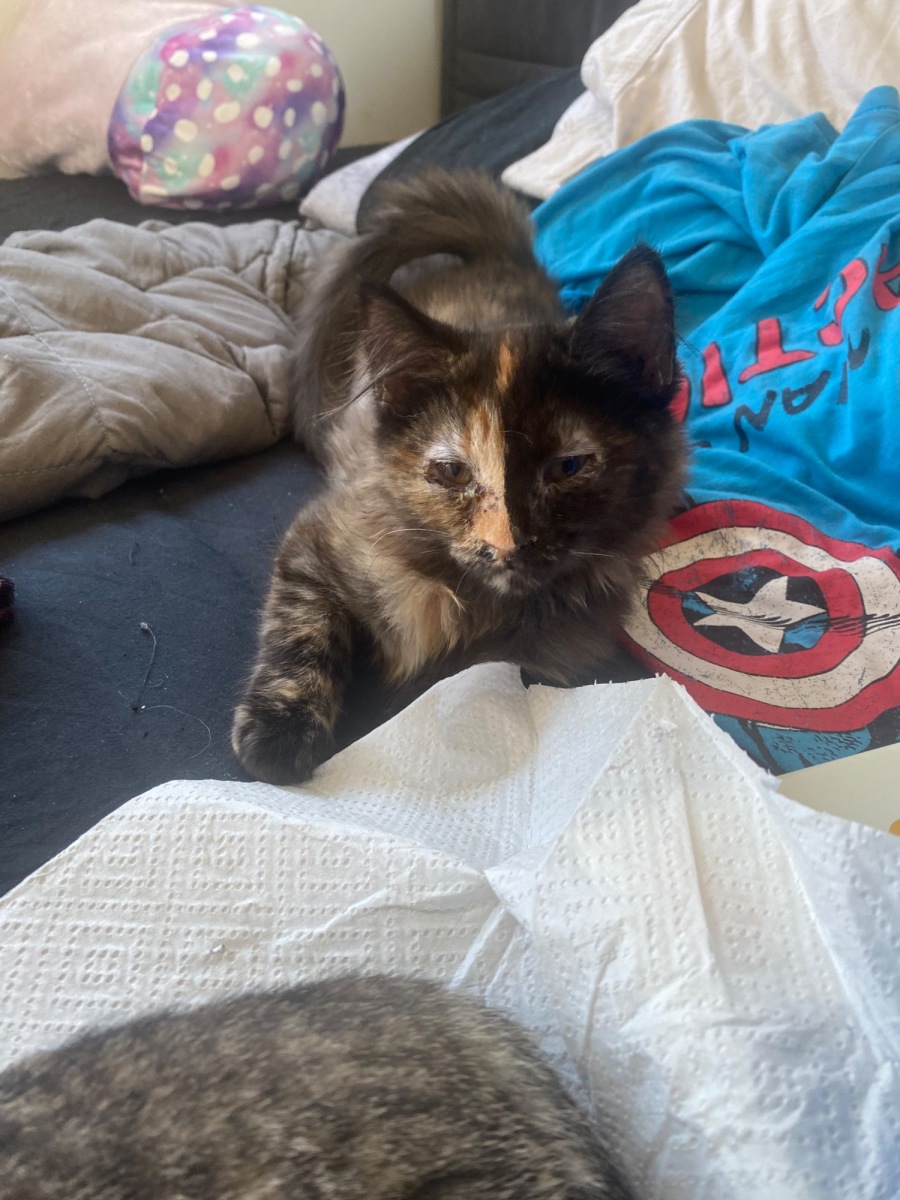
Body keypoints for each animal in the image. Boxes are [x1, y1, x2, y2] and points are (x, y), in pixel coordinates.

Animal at [232, 169, 687, 784]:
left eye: (567, 467)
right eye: (451, 472)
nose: (507, 544)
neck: (466, 600)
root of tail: (502, 255)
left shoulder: (545, 655)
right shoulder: (319, 535)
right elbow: (299, 625)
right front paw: (278, 734)